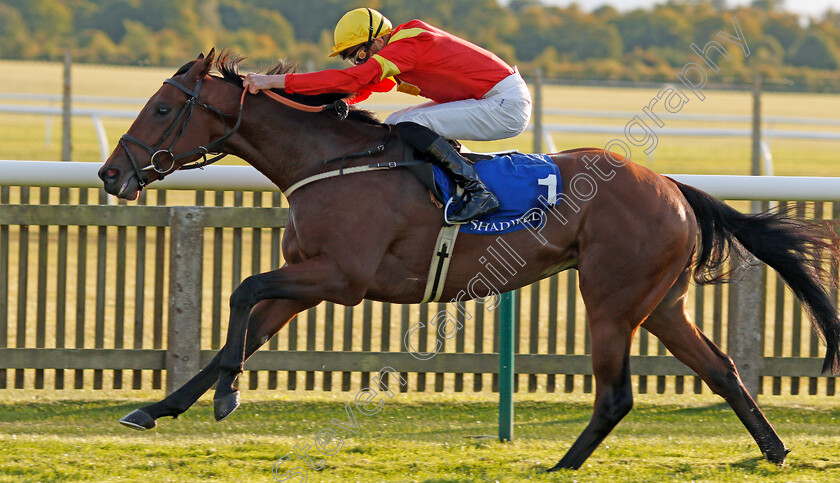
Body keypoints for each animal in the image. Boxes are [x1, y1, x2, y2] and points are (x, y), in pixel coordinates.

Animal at [100, 51, 840, 470]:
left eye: (161, 107)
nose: (110, 174)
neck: (329, 161)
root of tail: (672, 186)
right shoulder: (308, 279)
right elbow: (245, 323)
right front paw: (163, 406)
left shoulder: (340, 278)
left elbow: (242, 290)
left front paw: (227, 393)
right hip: (661, 302)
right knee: (721, 369)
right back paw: (773, 449)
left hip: (610, 298)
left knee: (617, 393)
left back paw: (561, 466)